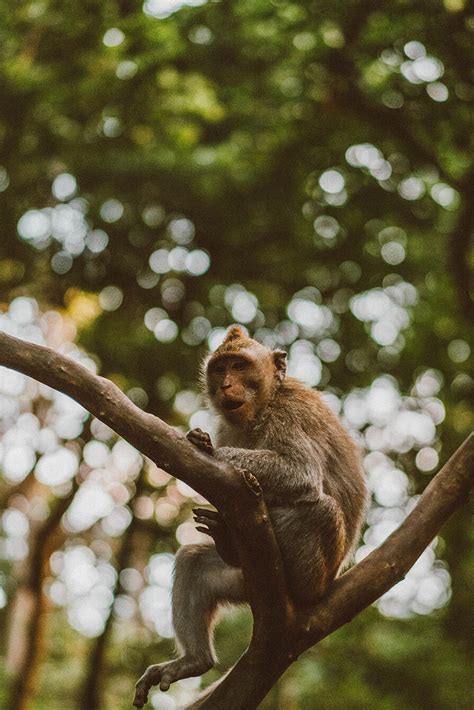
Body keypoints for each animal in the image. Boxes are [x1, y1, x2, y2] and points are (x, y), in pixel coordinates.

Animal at [133, 326, 366, 708]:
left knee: (320, 509)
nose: (226, 385)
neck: (267, 402)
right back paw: (195, 658)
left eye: (240, 366)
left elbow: (299, 473)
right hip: (243, 581)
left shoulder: (288, 415)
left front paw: (206, 447)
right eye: (220, 368)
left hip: (314, 575)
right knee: (193, 562)